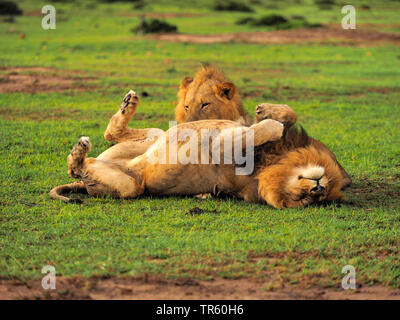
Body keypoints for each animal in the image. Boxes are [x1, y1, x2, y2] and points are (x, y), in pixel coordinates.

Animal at [49, 91, 344, 209]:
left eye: (307, 200)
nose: (317, 187)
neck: (275, 161)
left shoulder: (224, 147)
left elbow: (265, 129)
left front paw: (270, 119)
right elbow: (286, 118)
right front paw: (266, 111)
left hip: (129, 186)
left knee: (78, 170)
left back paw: (78, 152)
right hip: (152, 139)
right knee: (111, 134)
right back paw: (127, 103)